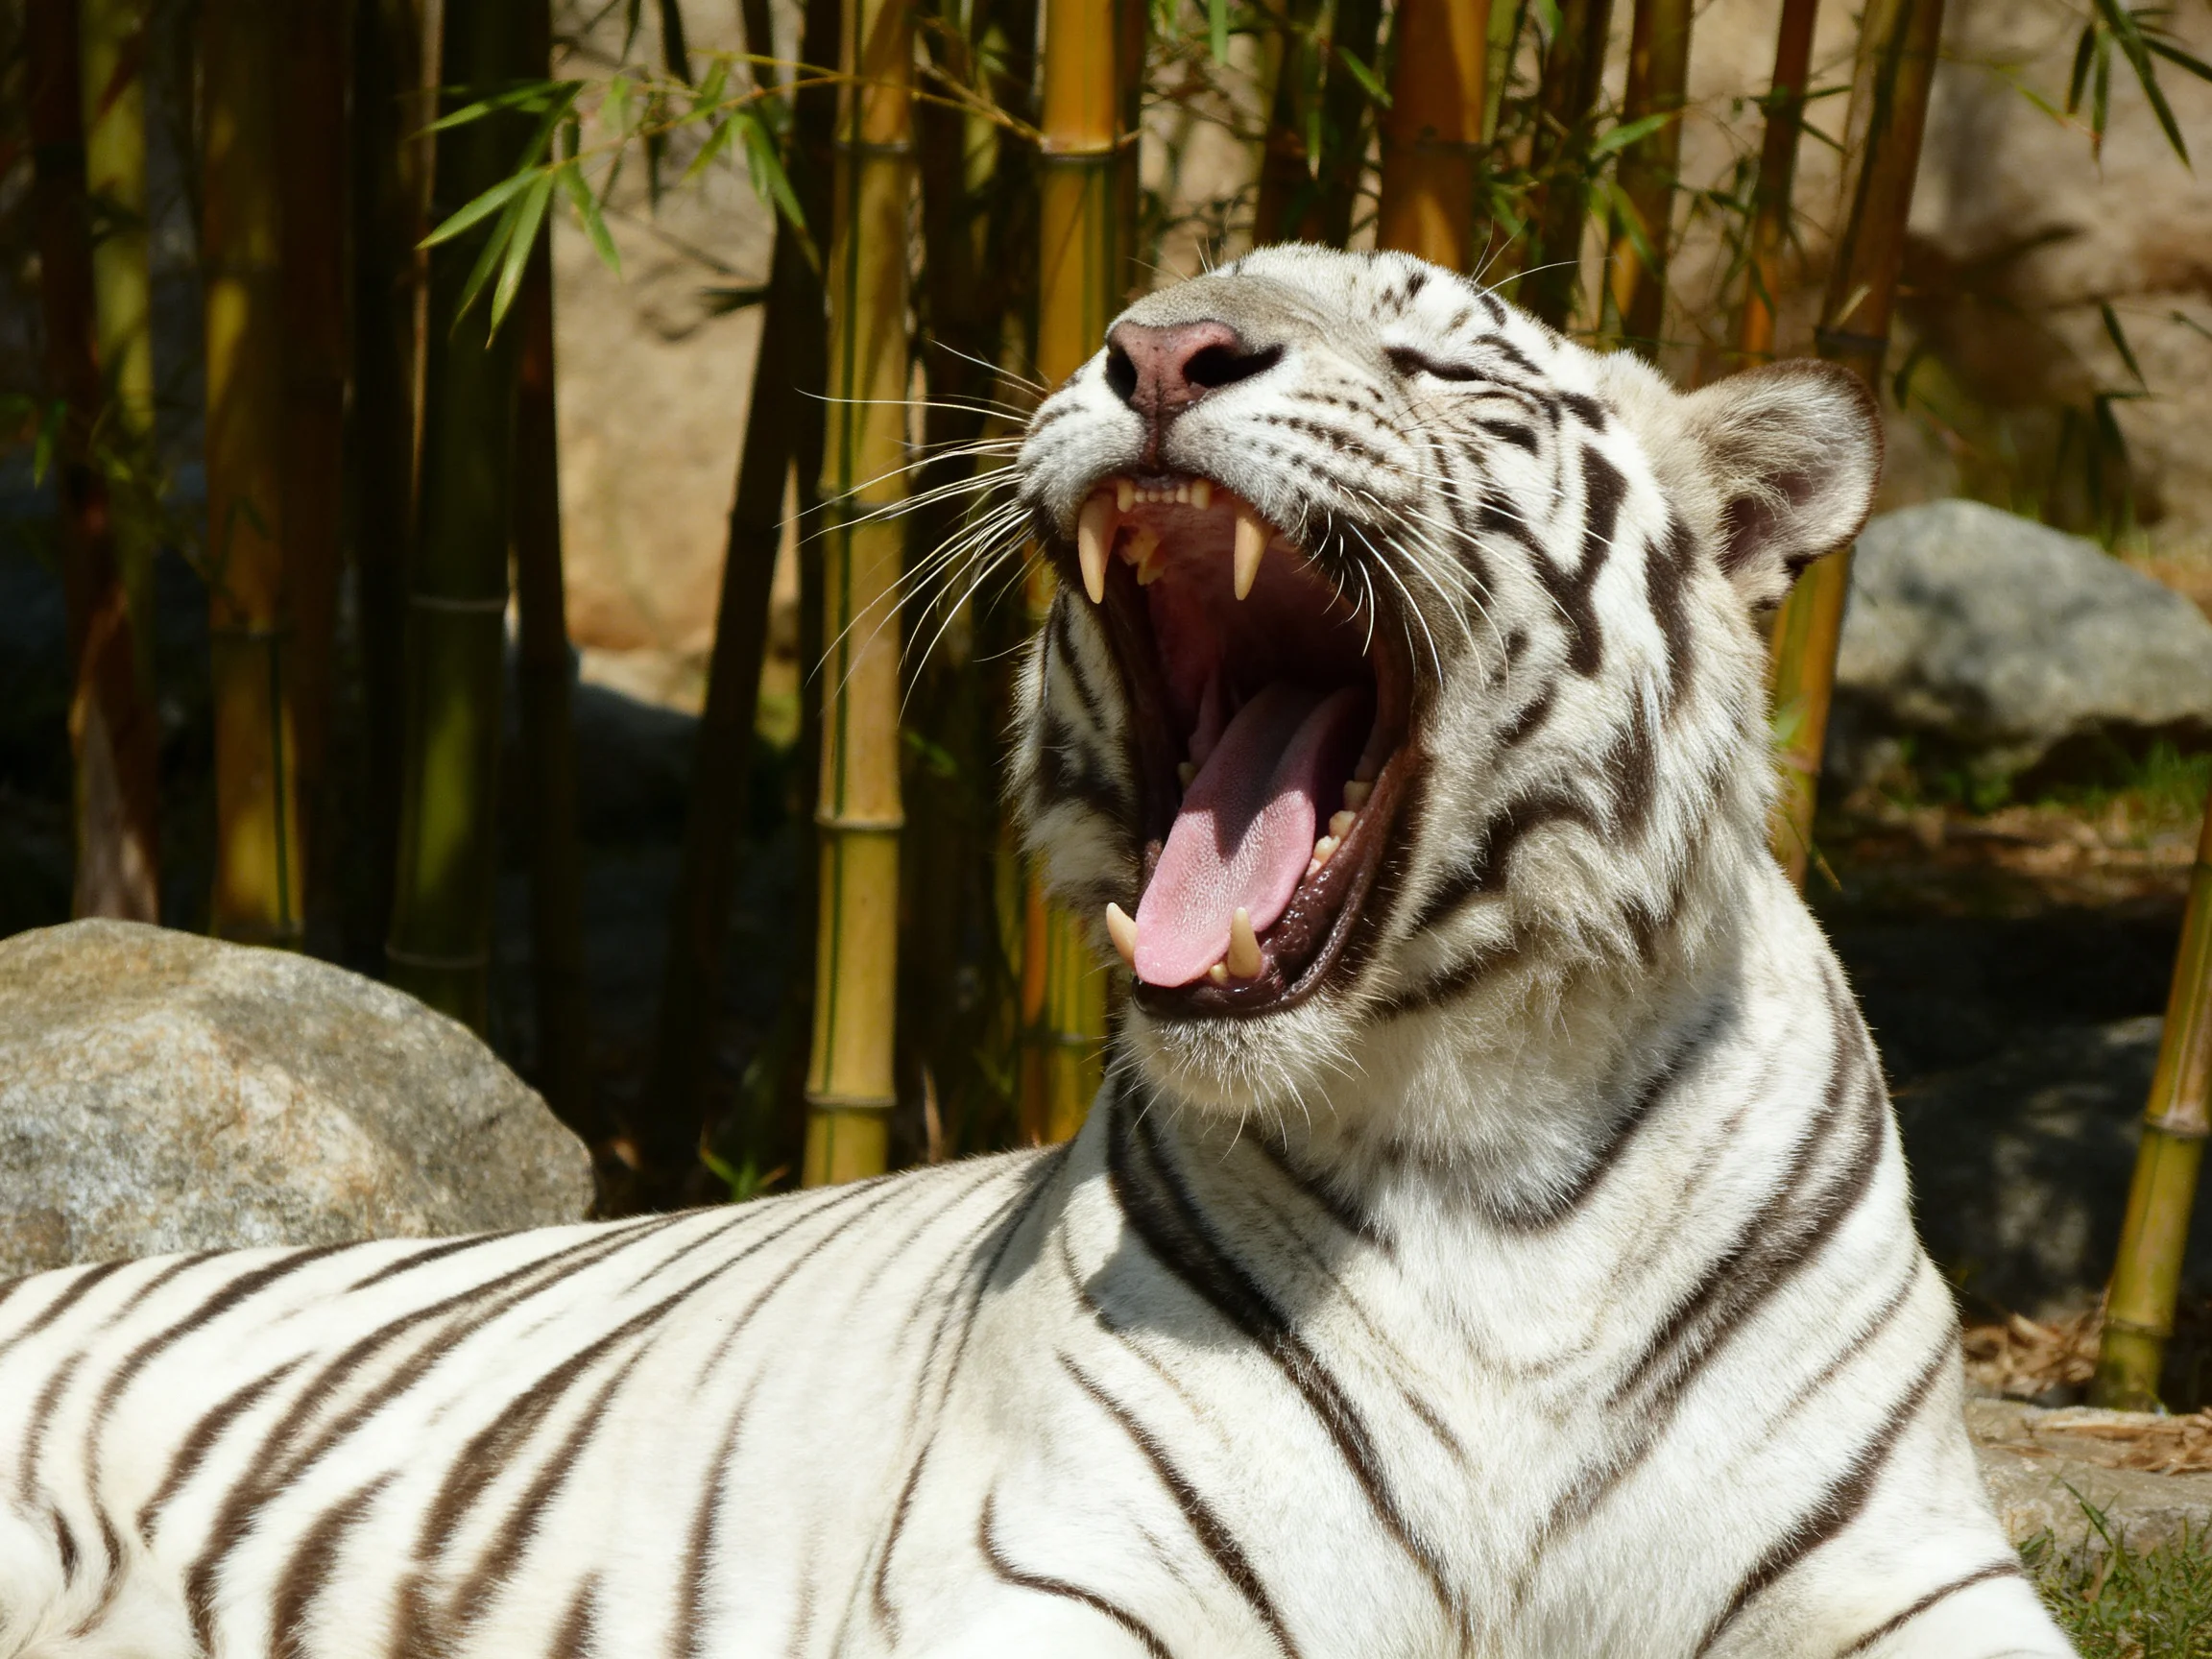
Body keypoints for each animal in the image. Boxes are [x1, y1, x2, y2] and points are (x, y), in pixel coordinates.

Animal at [0, 244, 2072, 1659]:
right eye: (1146, 308)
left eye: (1423, 355)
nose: (1153, 349)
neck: (1485, 1139)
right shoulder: (1059, 1575)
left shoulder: (1903, 1571)